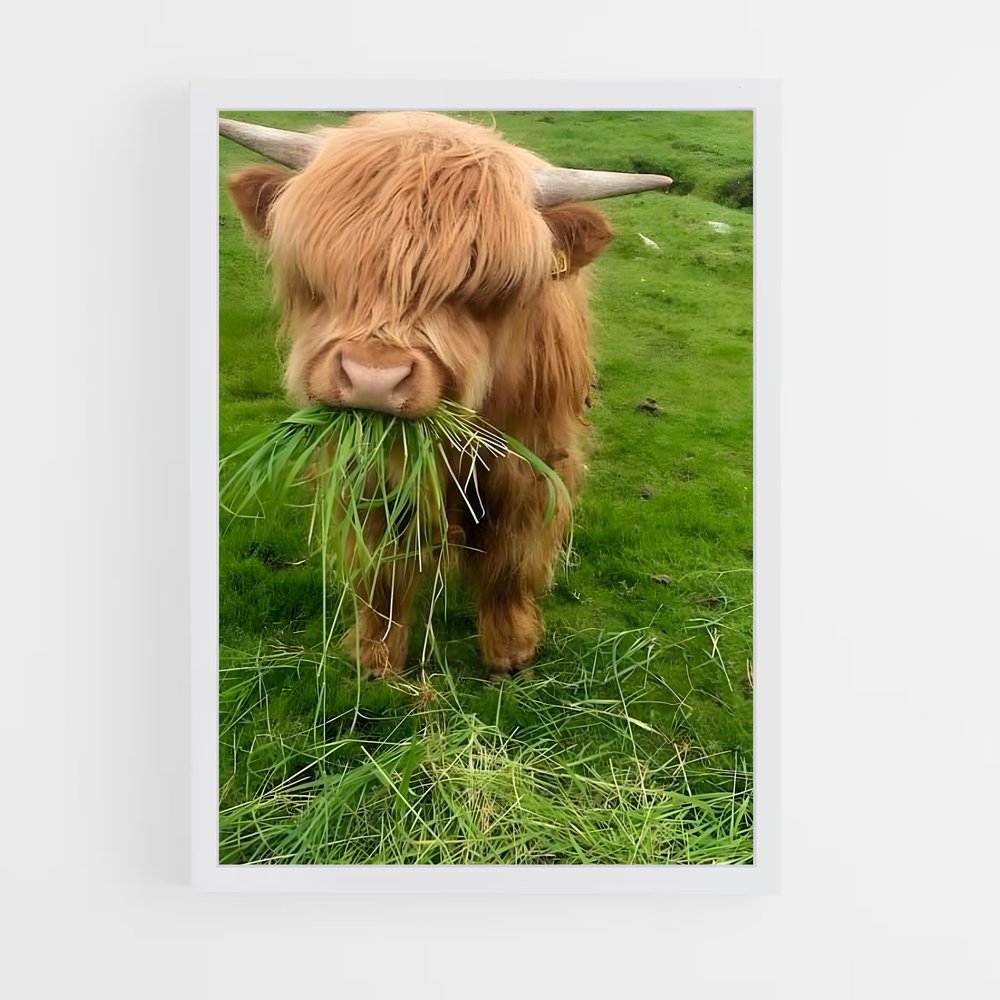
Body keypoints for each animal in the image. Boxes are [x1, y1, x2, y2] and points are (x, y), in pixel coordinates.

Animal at [221, 112, 671, 678]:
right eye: (322, 273)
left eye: (483, 288)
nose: (373, 377)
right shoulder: (370, 470)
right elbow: (382, 566)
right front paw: (375, 657)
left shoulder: (530, 462)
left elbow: (510, 557)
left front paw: (510, 651)